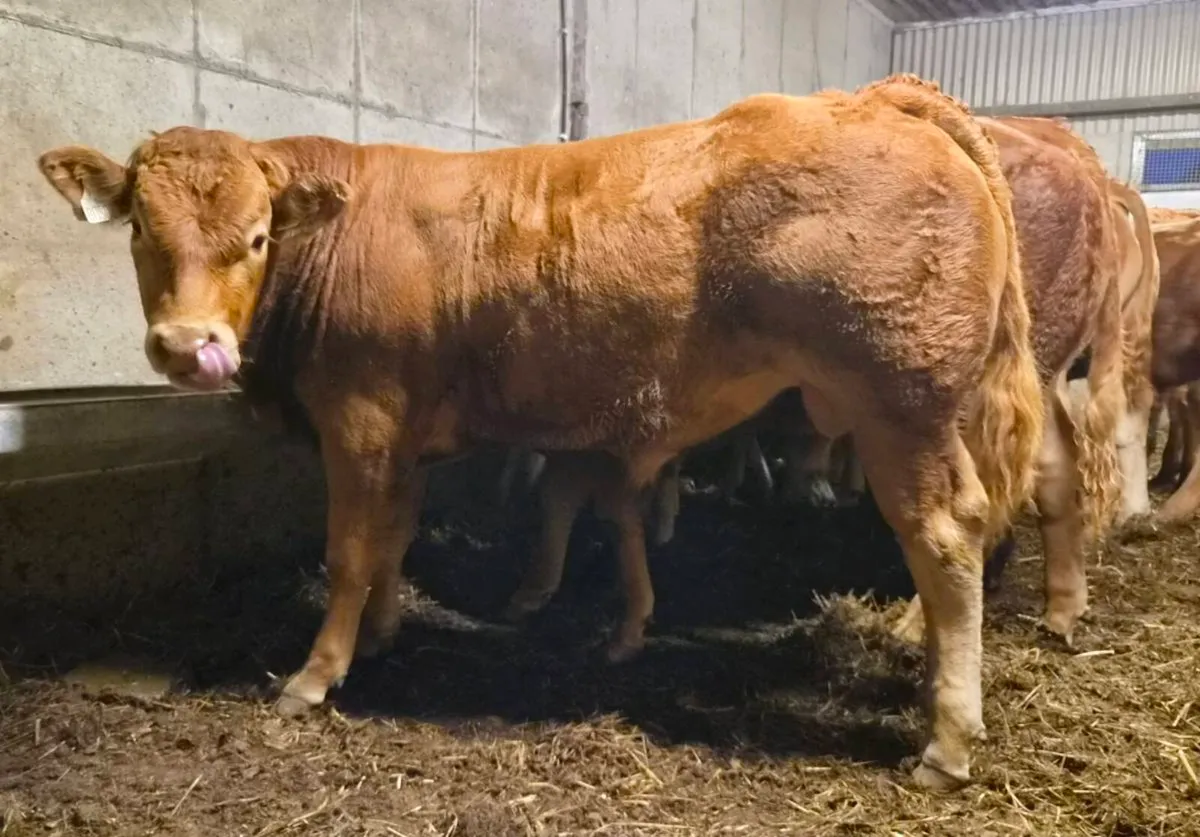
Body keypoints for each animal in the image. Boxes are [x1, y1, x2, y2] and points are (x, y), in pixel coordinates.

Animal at [38, 73, 1043, 789]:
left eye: (255, 237)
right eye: (141, 232)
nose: (188, 345)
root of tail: (870, 97)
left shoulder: (358, 419)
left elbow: (350, 551)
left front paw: (315, 677)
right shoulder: (403, 432)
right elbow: (393, 538)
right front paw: (382, 635)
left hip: (901, 405)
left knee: (943, 536)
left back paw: (947, 741)